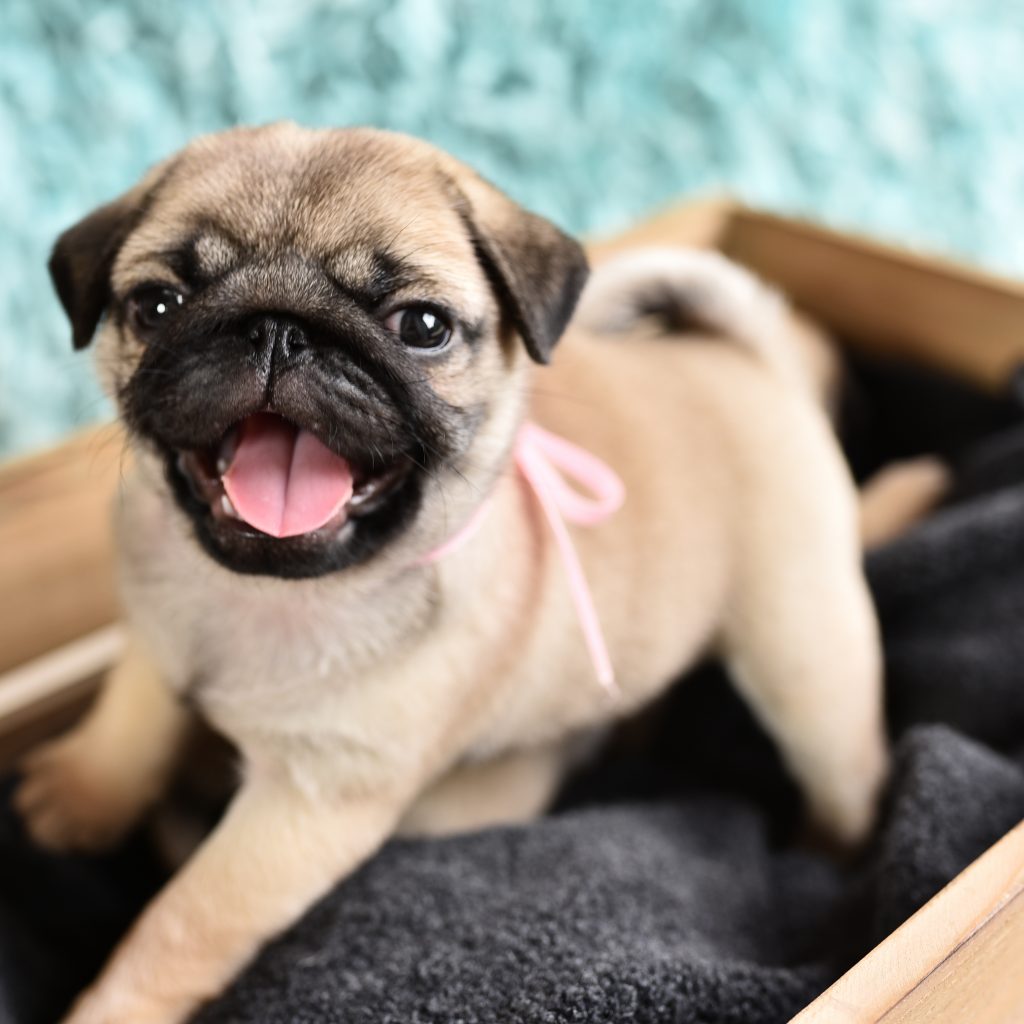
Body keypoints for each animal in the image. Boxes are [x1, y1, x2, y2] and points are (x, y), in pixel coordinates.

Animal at [12, 125, 884, 1024]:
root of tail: (748, 360)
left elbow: (183, 922)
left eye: (422, 325)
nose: (277, 329)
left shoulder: (308, 802)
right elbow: (130, 720)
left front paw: (112, 1007)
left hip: (803, 662)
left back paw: (825, 865)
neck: (261, 592)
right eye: (158, 304)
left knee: (846, 773)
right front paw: (83, 799)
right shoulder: (153, 633)